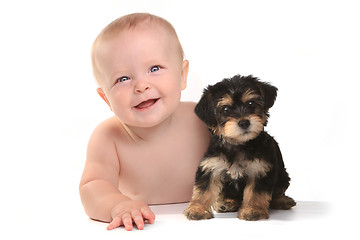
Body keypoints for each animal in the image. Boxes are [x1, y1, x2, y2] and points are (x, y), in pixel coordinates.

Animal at [186, 75, 296, 221]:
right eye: (225, 110)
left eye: (251, 103)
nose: (244, 122)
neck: (238, 144)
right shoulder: (211, 166)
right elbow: (203, 189)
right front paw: (197, 209)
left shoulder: (260, 169)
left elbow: (256, 192)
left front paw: (252, 210)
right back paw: (227, 203)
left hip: (283, 176)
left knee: (278, 191)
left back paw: (282, 201)